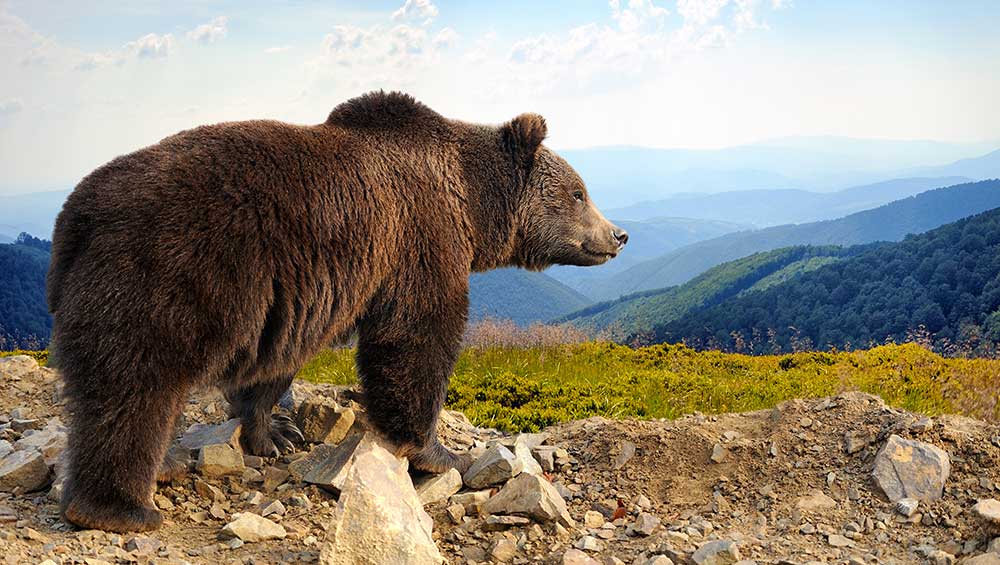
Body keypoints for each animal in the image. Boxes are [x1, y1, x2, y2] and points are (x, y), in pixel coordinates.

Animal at [47, 91, 628, 533]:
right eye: (579, 192)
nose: (618, 235)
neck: (470, 203)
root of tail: (77, 215)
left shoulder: (295, 296)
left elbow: (275, 365)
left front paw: (275, 432)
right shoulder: (418, 239)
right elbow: (417, 339)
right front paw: (439, 452)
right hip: (169, 272)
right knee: (136, 387)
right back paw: (122, 506)